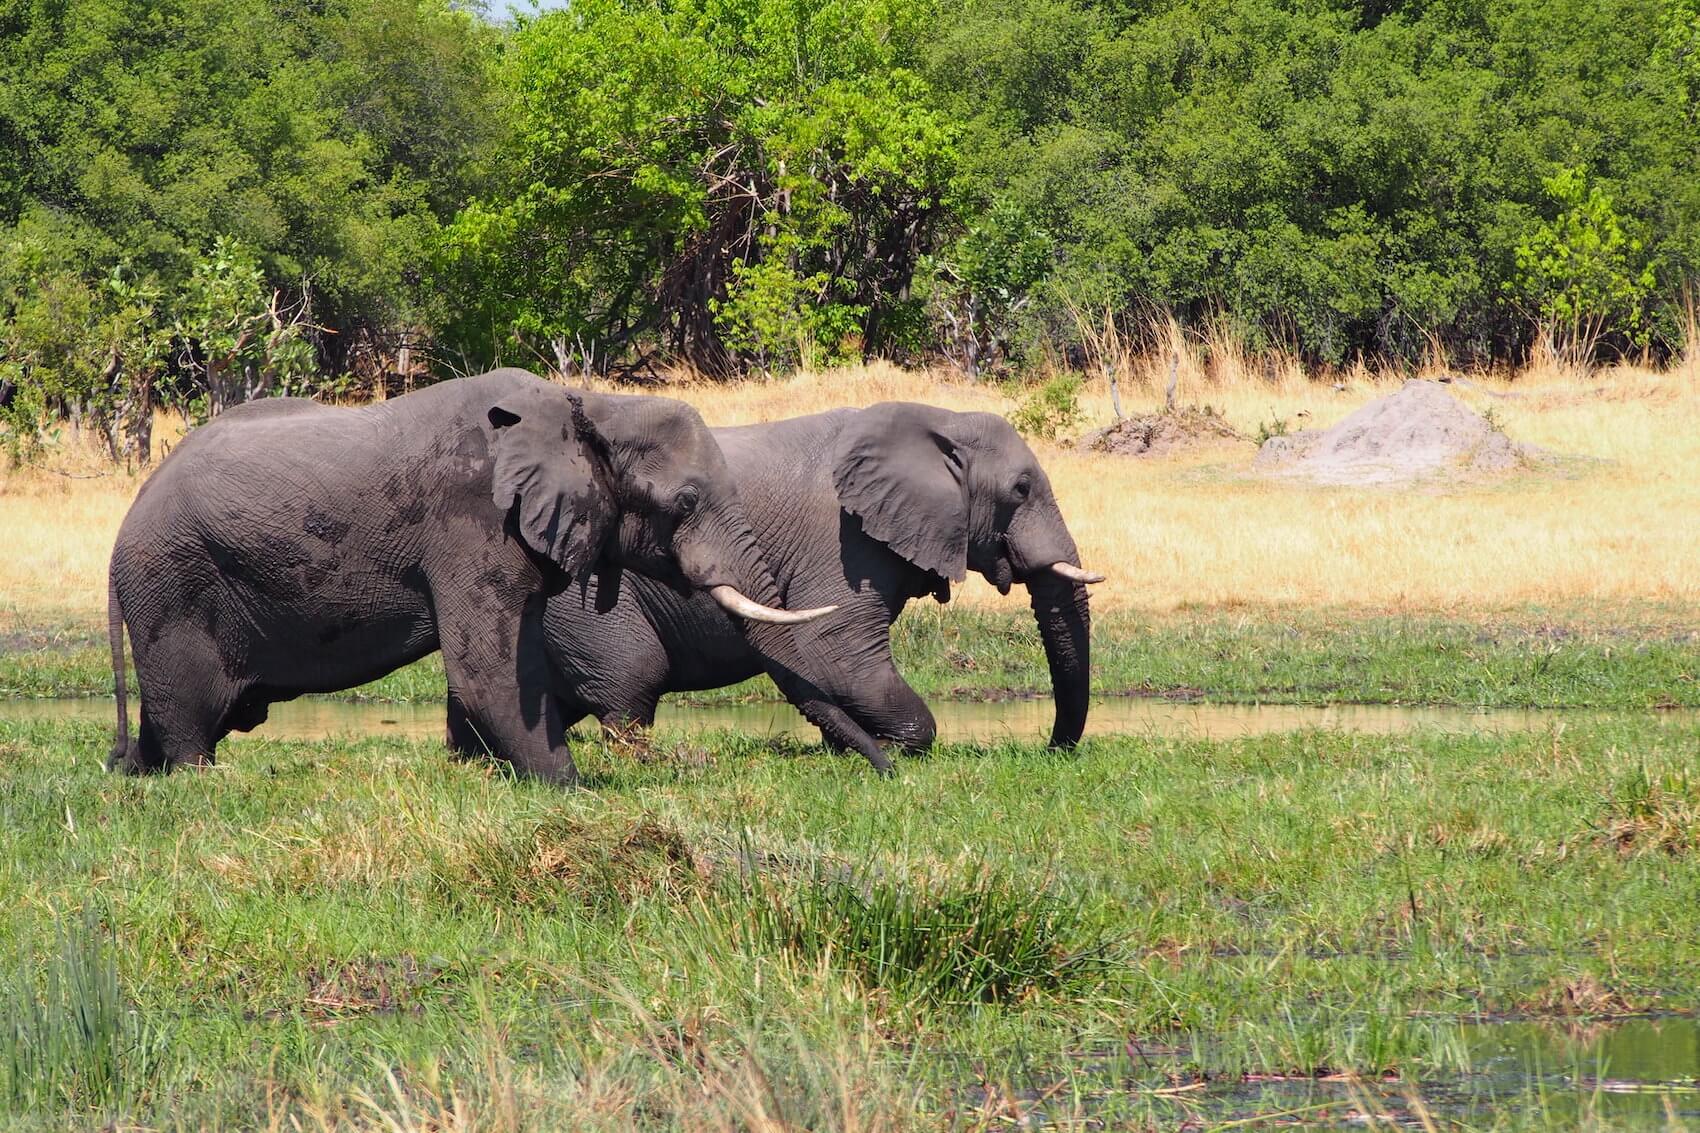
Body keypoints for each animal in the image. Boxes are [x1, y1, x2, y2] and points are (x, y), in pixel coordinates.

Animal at [107, 368, 893, 784]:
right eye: (686, 503)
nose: (888, 769)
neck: (586, 405)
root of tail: (128, 518)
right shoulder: (471, 520)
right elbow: (489, 669)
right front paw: (571, 787)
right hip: (172, 583)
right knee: (189, 715)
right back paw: (201, 778)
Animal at [537, 401, 1101, 756]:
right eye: (1021, 489)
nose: (1051, 750)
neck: (936, 419)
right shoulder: (842, 540)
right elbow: (837, 646)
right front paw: (887, 747)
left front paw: (848, 745)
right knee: (632, 682)